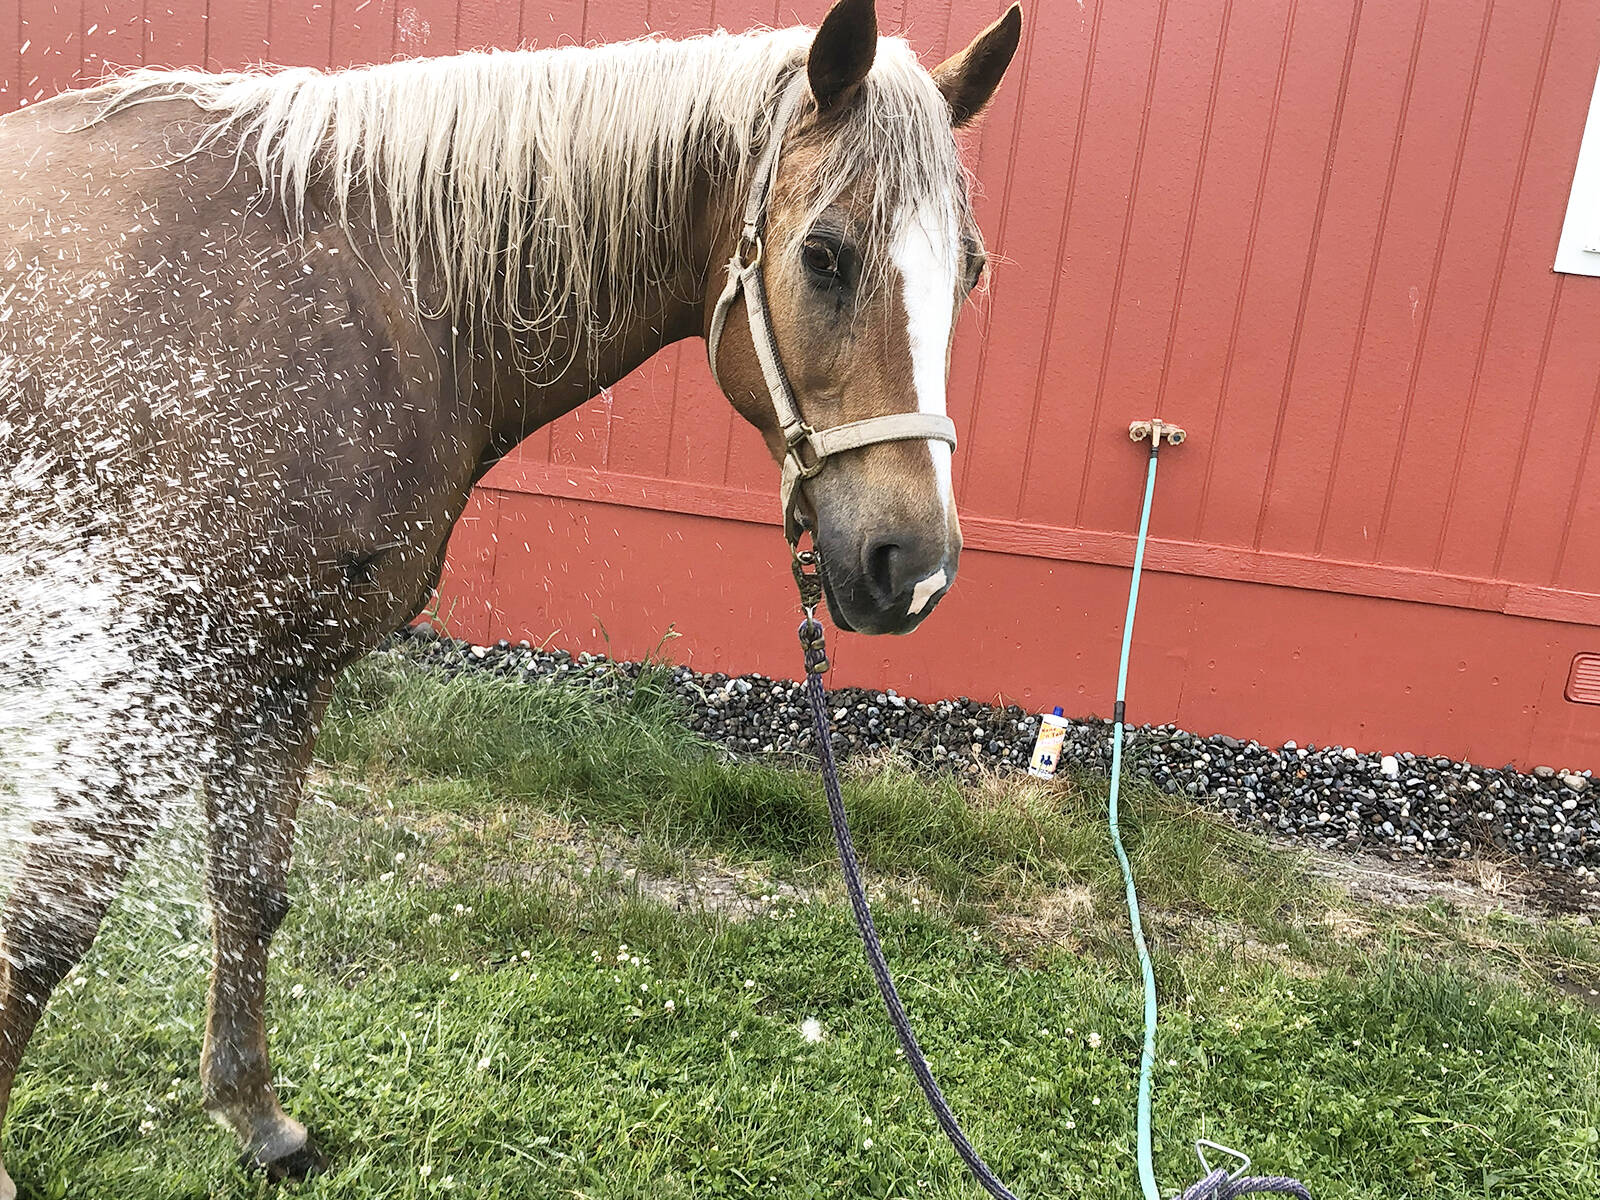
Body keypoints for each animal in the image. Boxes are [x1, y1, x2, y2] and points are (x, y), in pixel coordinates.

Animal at [0, 0, 1021, 1188]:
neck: (345, 292)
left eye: (969, 270)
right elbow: (54, 919)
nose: (912, 566)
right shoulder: (150, 669)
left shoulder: (284, 666)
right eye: (823, 254)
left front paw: (255, 1116)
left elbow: (250, 892)